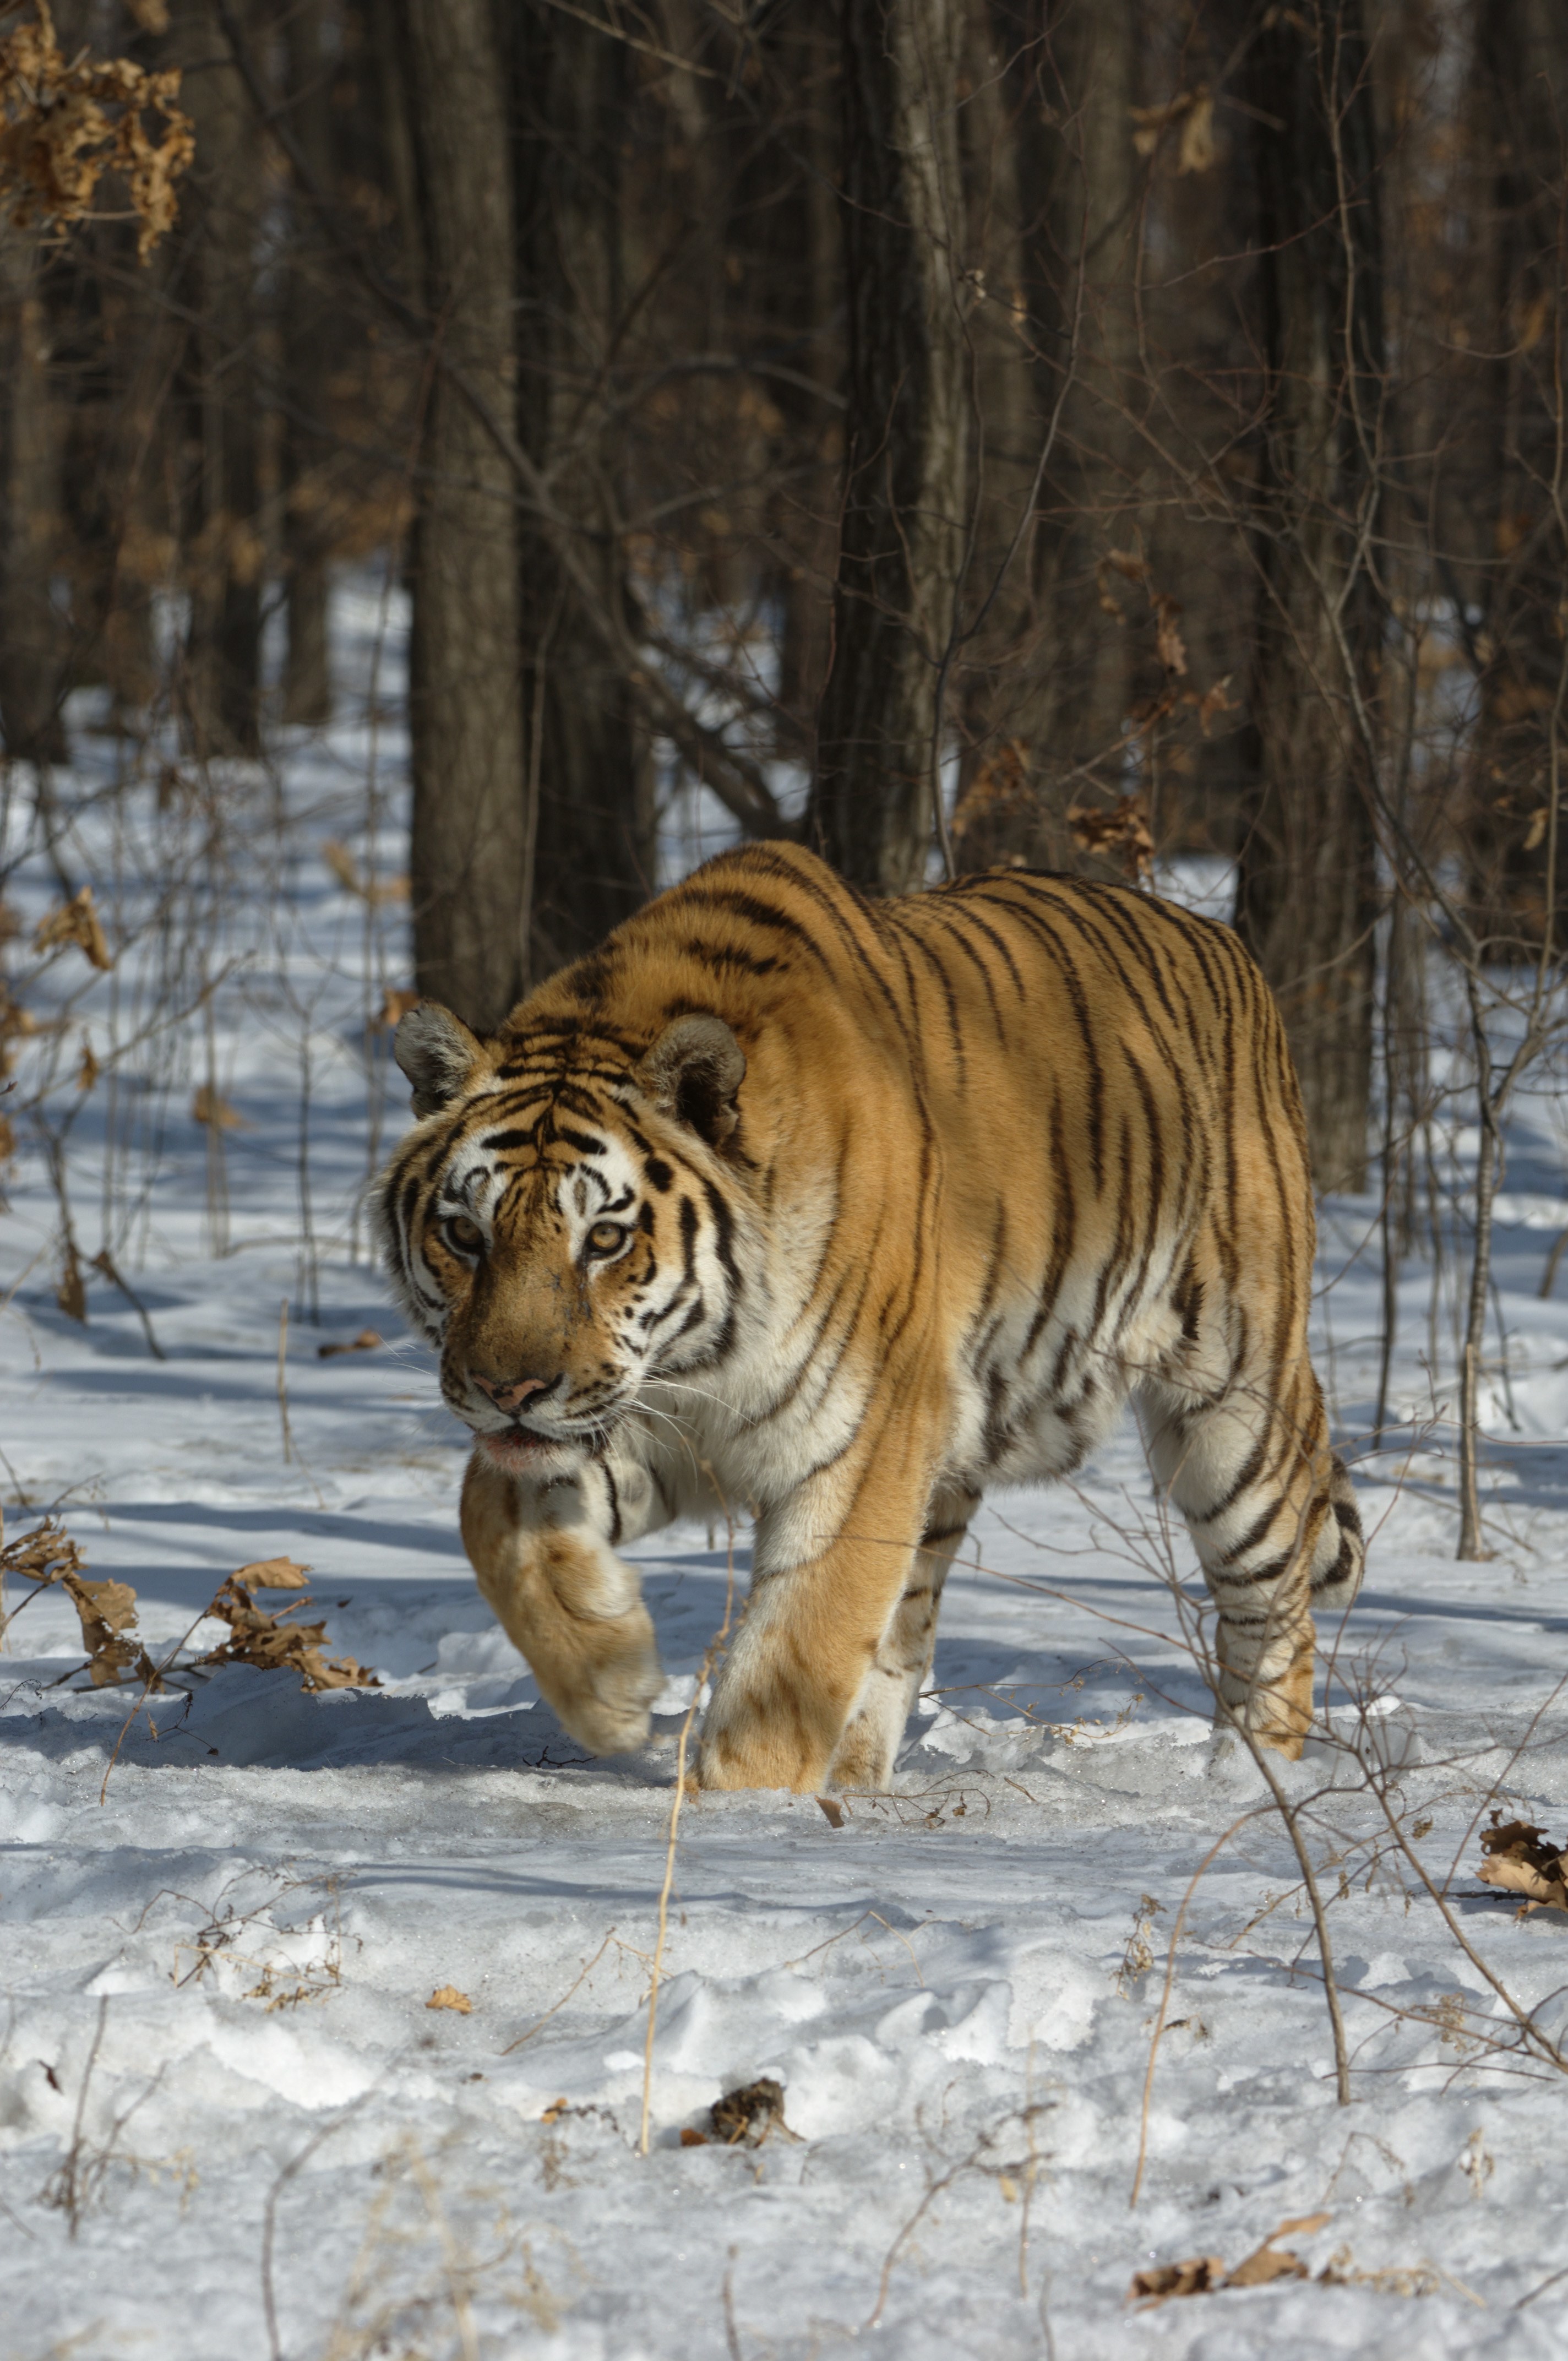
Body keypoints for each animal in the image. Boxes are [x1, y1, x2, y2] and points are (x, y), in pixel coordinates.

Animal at [378, 840, 1360, 1775]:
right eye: (465, 1235)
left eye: (607, 1241)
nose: (507, 1391)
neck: (702, 1357)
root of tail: (1222, 939)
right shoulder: (655, 1426)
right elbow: (489, 1515)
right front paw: (611, 1684)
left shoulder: (860, 1447)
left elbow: (788, 1670)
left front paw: (742, 1810)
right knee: (907, 1635)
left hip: (1234, 1410)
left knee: (1277, 1611)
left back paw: (1250, 1785)